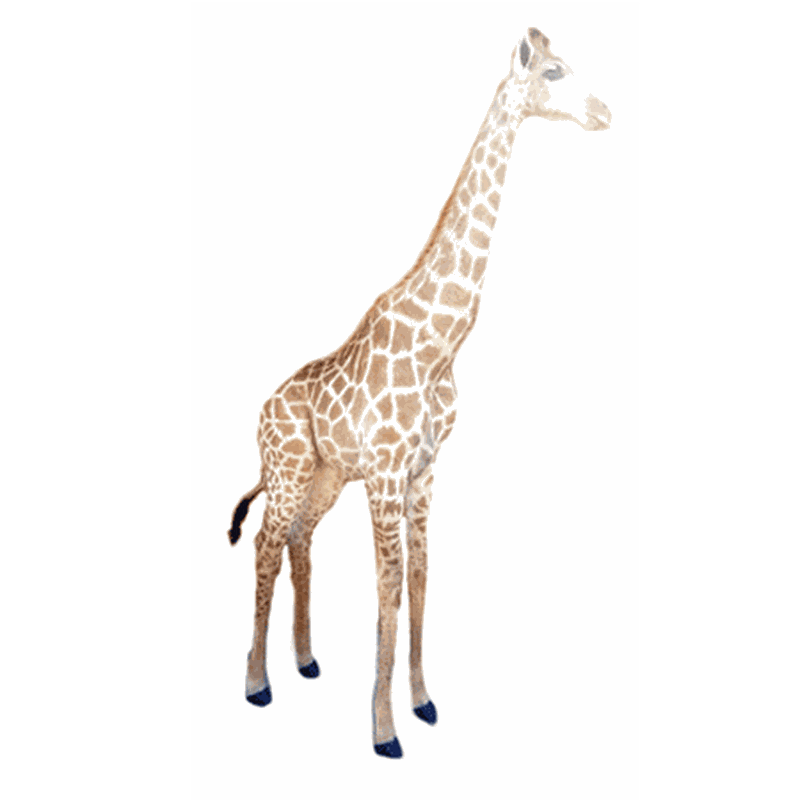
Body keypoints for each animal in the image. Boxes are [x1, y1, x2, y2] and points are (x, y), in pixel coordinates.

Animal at [228, 27, 610, 758]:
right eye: (554, 71)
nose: (605, 111)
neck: (442, 342)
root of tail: (262, 412)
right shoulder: (385, 473)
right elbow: (388, 593)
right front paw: (383, 733)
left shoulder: (424, 469)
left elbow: (422, 580)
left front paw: (423, 703)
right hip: (289, 468)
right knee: (264, 544)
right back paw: (257, 683)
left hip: (326, 475)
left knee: (298, 539)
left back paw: (306, 660)